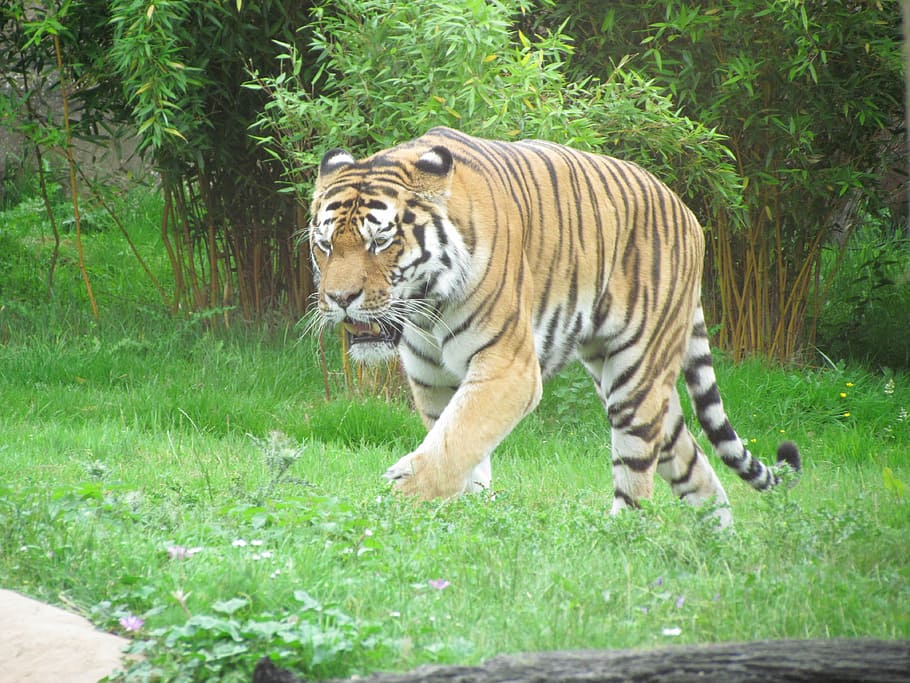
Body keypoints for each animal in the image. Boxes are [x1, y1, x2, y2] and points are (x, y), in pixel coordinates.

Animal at [308, 126, 800, 528]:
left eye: (380, 242)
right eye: (325, 245)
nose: (340, 299)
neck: (426, 309)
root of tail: (689, 214)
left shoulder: (509, 368)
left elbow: (455, 441)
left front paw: (398, 500)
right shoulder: (433, 381)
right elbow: (460, 445)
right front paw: (465, 511)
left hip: (635, 377)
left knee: (635, 480)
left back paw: (619, 539)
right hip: (636, 384)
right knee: (696, 471)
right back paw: (718, 546)